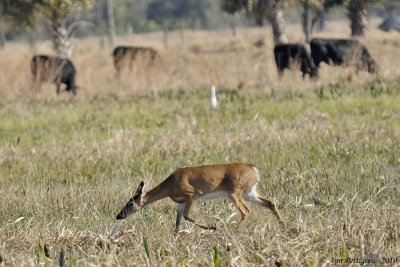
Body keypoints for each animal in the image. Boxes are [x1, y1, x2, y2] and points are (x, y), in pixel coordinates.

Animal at [115, 162, 284, 233]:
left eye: (130, 204)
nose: (118, 216)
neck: (171, 184)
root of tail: (254, 169)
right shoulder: (181, 202)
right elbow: (177, 221)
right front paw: (175, 237)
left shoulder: (192, 194)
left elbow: (186, 216)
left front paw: (212, 227)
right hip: (249, 192)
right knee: (270, 203)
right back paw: (284, 226)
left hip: (234, 193)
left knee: (246, 211)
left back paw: (233, 231)